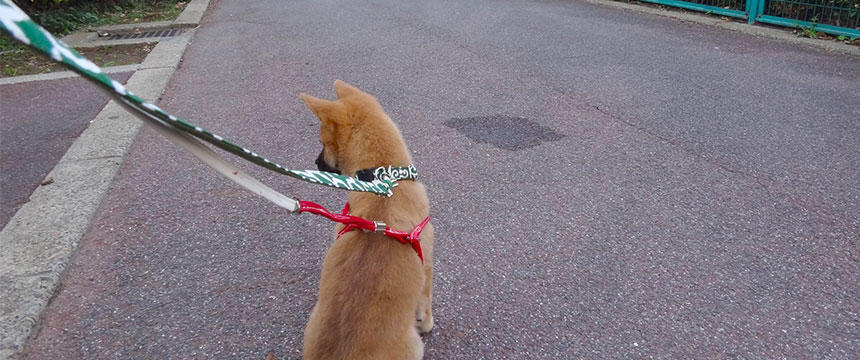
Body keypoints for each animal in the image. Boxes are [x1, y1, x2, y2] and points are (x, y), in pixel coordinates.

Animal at [302, 80, 436, 358]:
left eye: (322, 142)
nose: (316, 163)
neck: (383, 179)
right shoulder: (427, 263)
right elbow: (426, 304)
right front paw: (426, 323)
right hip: (414, 346)